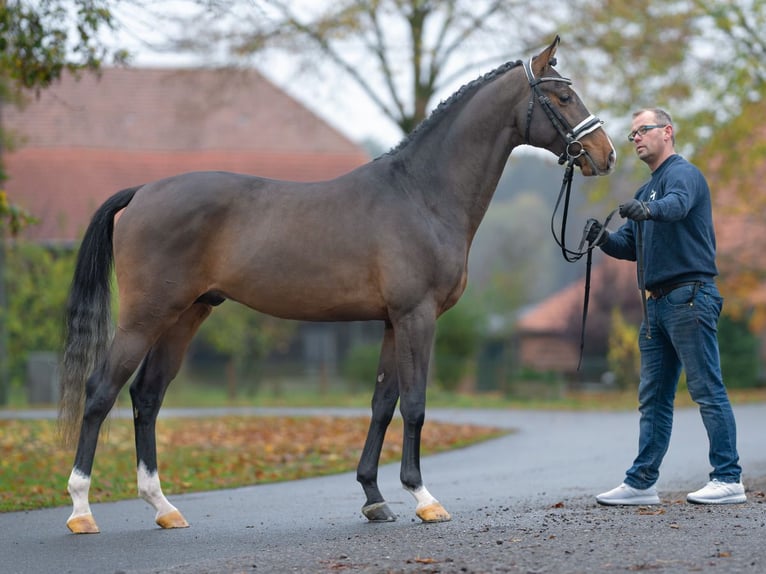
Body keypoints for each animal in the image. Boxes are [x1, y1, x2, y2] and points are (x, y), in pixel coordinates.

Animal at [57, 36, 616, 536]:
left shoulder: (392, 321)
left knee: (147, 396)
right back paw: (81, 509)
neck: (422, 195)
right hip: (146, 316)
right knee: (101, 391)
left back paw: (163, 507)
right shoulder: (416, 316)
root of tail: (142, 192)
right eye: (561, 97)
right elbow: (414, 404)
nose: (604, 153)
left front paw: (374, 497)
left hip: (187, 313)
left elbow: (382, 404)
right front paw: (424, 498)